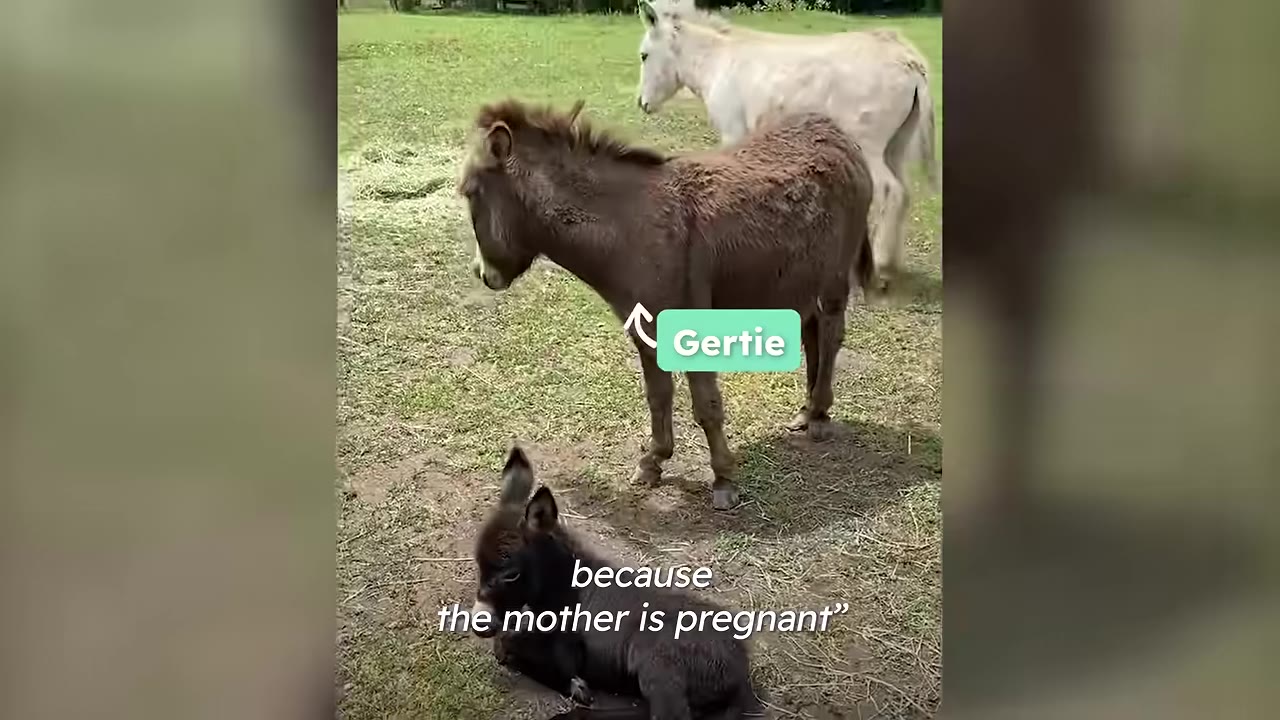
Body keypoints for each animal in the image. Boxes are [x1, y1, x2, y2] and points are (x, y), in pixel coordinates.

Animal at [458, 99, 874, 509]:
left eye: (469, 192)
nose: (483, 273)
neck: (631, 230)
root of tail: (832, 129)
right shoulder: (644, 329)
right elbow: (657, 396)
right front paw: (653, 461)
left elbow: (706, 405)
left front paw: (723, 479)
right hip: (798, 278)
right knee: (812, 330)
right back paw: (808, 410)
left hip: (834, 274)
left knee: (831, 332)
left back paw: (818, 415)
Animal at [471, 446, 760, 719]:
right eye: (478, 564)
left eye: (511, 574)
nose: (479, 624)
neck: (566, 588)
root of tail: (741, 664)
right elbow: (506, 644)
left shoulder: (568, 651)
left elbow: (510, 649)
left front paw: (577, 688)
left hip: (658, 662)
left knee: (669, 714)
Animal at [634, 0, 938, 293]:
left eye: (644, 55)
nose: (641, 103)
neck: (716, 62)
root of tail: (908, 59)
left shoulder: (733, 133)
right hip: (896, 146)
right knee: (904, 192)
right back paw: (892, 265)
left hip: (870, 145)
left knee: (890, 191)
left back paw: (881, 269)